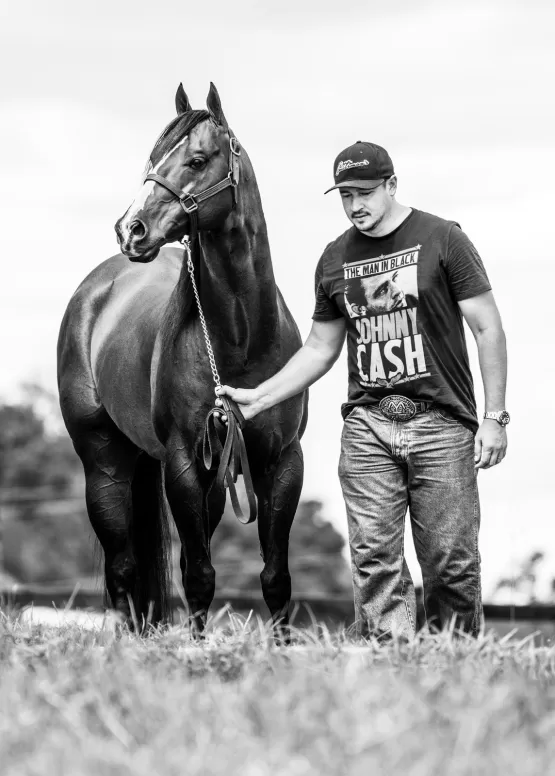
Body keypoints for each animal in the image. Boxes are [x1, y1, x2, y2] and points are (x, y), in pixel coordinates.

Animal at [59, 83, 310, 632]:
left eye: (197, 159)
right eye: (153, 158)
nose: (130, 229)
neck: (241, 339)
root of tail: (99, 287)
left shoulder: (281, 460)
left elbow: (276, 579)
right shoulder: (183, 464)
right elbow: (198, 577)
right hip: (105, 463)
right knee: (123, 569)